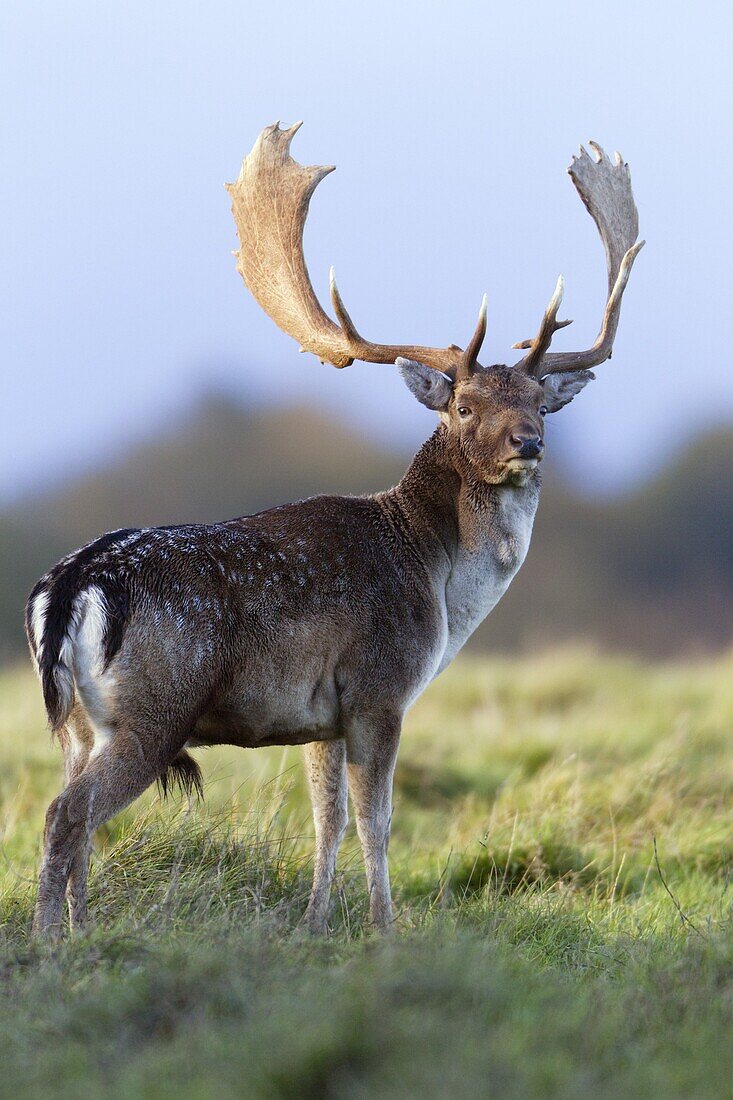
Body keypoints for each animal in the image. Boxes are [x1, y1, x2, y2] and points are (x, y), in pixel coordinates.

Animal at [25, 122, 638, 937]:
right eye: (464, 406)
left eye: (540, 401)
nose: (527, 444)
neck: (439, 585)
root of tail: (71, 585)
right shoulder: (381, 686)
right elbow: (377, 821)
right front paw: (385, 928)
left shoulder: (322, 714)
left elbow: (327, 820)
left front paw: (316, 924)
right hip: (153, 712)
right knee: (66, 816)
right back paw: (50, 943)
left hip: (77, 724)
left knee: (77, 818)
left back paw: (83, 929)